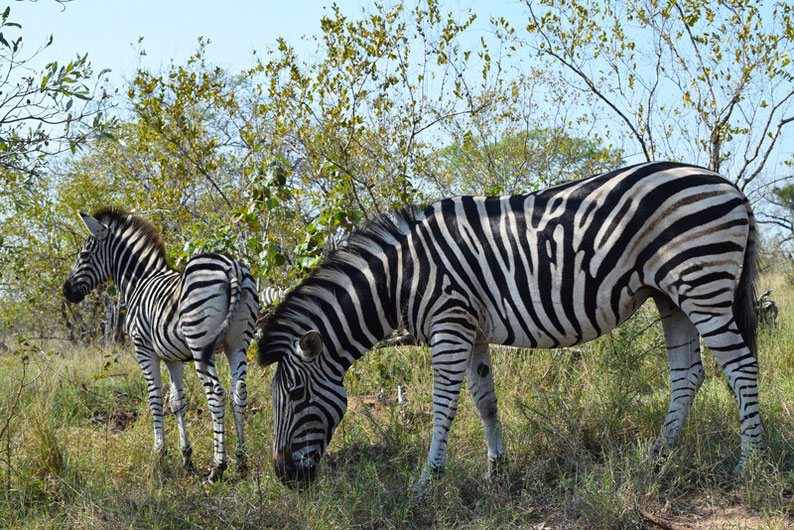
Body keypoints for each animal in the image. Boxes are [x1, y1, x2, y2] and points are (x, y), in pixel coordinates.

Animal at [64, 208, 260, 480]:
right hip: (238, 344)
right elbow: (177, 402)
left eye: (83, 255)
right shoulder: (172, 356)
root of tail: (231, 266)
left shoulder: (144, 349)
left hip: (201, 345)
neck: (139, 281)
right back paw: (241, 461)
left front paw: (159, 453)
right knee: (238, 392)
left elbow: (155, 398)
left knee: (216, 394)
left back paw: (218, 467)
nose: (66, 292)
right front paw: (186, 456)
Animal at [258, 161, 760, 486]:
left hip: (701, 283)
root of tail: (730, 185)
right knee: (687, 375)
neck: (401, 277)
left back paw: (749, 464)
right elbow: (486, 402)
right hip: (670, 295)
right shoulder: (472, 328)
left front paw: (427, 481)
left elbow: (444, 406)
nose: (284, 477)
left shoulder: (449, 323)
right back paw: (657, 459)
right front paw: (495, 471)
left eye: (296, 395)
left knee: (741, 368)